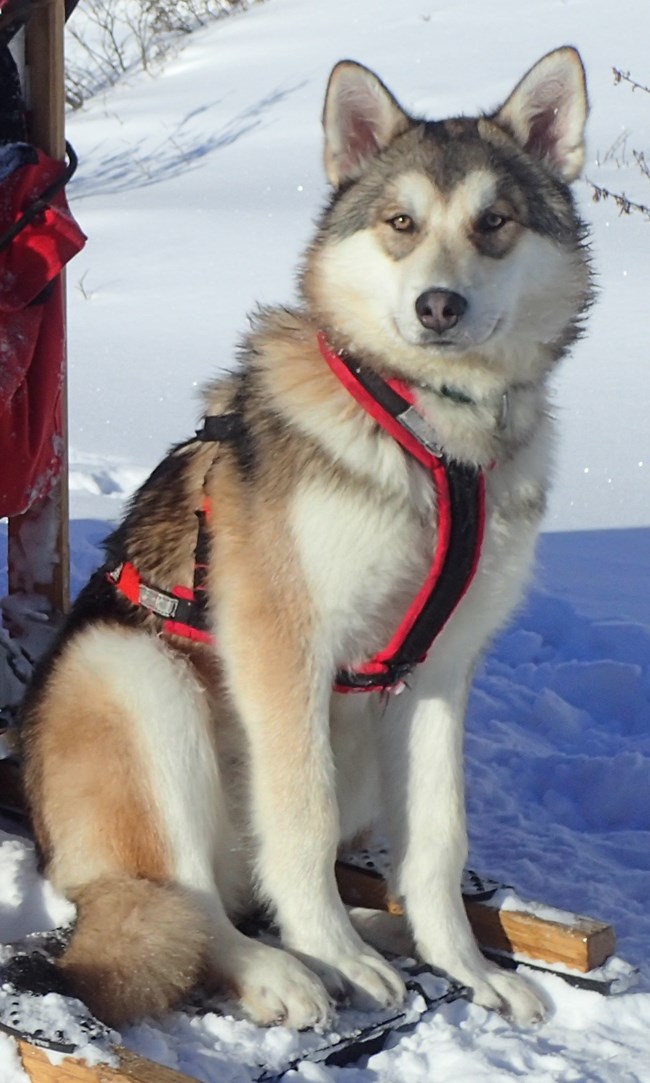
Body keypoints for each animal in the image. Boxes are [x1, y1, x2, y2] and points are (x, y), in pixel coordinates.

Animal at [21, 48, 589, 1031]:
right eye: (401, 222)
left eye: (496, 223)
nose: (438, 305)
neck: (430, 433)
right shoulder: (282, 647)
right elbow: (303, 819)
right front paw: (334, 954)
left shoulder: (439, 674)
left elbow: (437, 842)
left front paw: (464, 964)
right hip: (133, 677)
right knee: (194, 904)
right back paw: (279, 966)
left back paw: (381, 930)